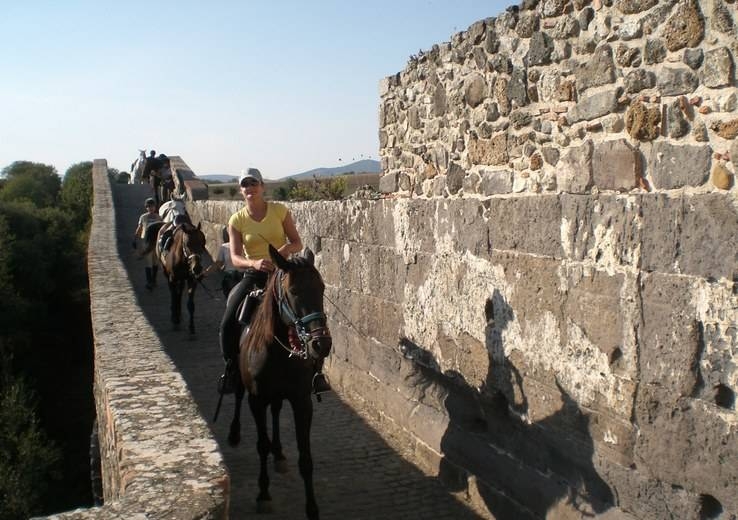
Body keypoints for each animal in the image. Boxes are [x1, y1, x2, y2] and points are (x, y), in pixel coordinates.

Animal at [229, 245, 332, 520]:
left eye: (322, 288)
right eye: (293, 291)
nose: (321, 344)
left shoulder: (302, 401)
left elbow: (305, 458)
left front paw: (312, 508)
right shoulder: (256, 400)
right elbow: (261, 445)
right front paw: (263, 494)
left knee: (275, 410)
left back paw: (279, 453)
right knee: (237, 395)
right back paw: (234, 432)